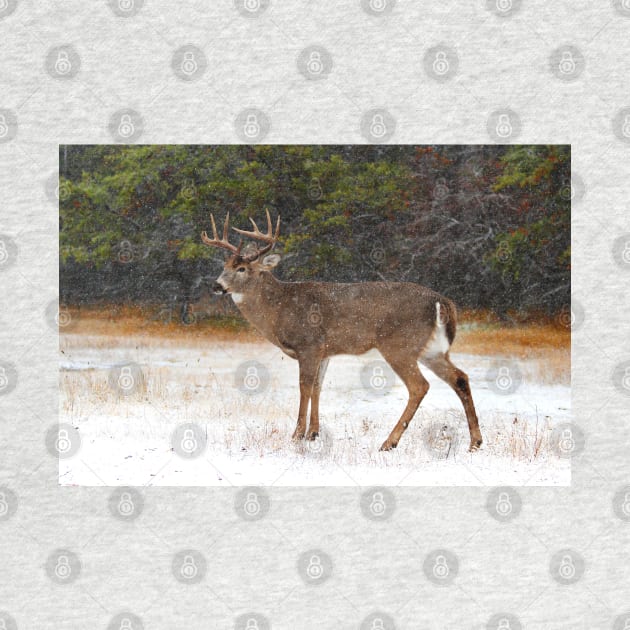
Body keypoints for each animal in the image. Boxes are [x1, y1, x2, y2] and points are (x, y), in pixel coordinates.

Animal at [202, 212, 484, 454]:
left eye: (242, 269)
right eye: (224, 265)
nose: (216, 285)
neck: (280, 308)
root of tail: (442, 301)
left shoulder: (309, 344)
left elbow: (304, 386)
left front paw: (296, 435)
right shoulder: (325, 351)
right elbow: (318, 386)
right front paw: (313, 433)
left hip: (399, 345)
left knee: (419, 386)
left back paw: (388, 443)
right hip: (431, 349)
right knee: (460, 378)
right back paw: (475, 443)